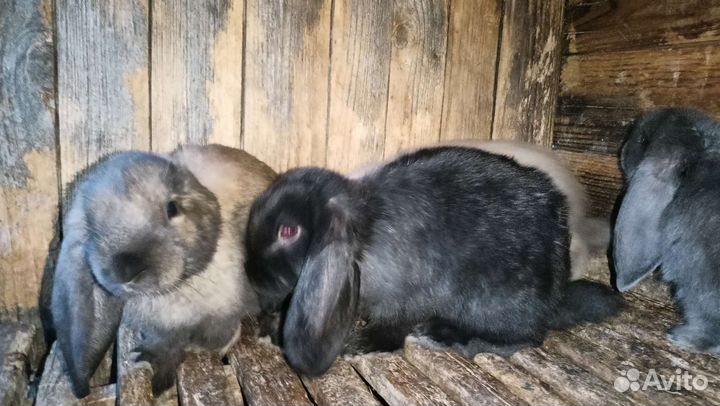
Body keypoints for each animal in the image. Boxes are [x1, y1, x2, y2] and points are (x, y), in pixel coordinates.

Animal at [51, 144, 276, 397]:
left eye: (172, 208)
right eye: (90, 226)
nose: (126, 271)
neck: (174, 289)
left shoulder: (223, 313)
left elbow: (221, 332)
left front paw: (202, 346)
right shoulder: (161, 328)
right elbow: (165, 344)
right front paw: (152, 363)